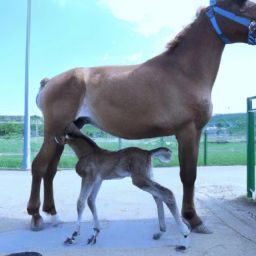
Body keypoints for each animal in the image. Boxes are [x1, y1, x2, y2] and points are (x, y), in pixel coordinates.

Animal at [28, 0, 256, 232]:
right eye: (240, 4)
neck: (184, 72)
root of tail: (49, 82)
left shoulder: (196, 132)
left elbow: (189, 175)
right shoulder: (188, 131)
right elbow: (188, 175)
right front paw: (193, 218)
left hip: (64, 132)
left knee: (50, 170)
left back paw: (53, 214)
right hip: (53, 130)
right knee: (39, 166)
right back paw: (36, 216)